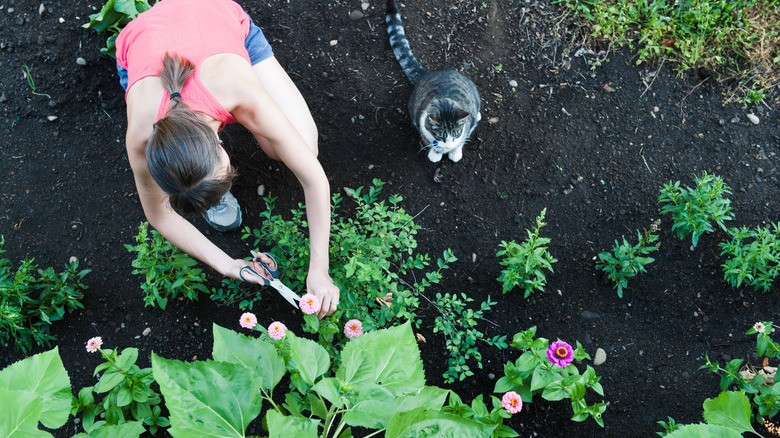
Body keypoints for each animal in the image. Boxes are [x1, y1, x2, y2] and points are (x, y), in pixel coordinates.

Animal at [386, 0, 478, 163]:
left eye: (456, 133)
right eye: (440, 135)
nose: (448, 145)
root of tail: (428, 73)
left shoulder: (465, 126)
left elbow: (462, 139)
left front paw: (455, 152)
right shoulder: (422, 125)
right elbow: (430, 142)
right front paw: (435, 154)